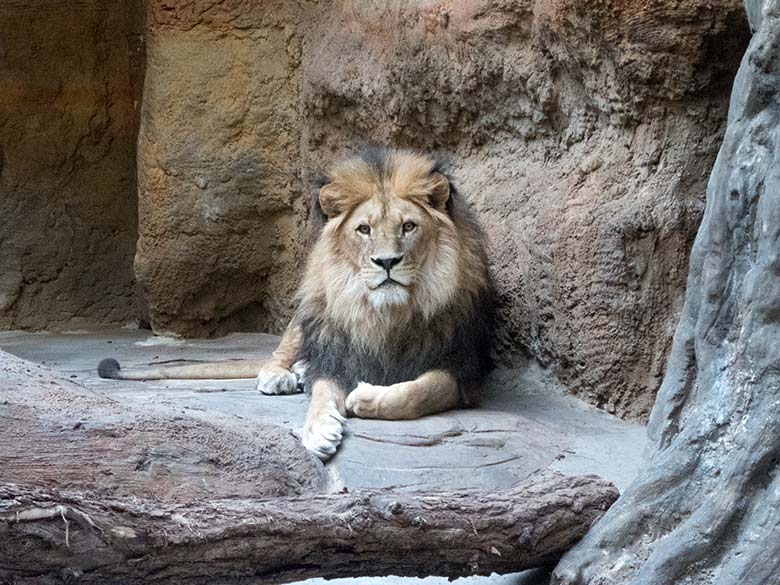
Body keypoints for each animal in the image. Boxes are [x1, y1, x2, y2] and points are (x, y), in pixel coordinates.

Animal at [99, 148, 494, 458]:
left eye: (408, 227)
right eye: (364, 229)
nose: (386, 262)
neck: (384, 314)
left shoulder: (461, 367)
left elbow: (420, 391)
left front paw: (365, 398)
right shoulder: (335, 357)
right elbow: (320, 395)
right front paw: (319, 430)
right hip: (308, 311)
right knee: (280, 353)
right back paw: (282, 376)